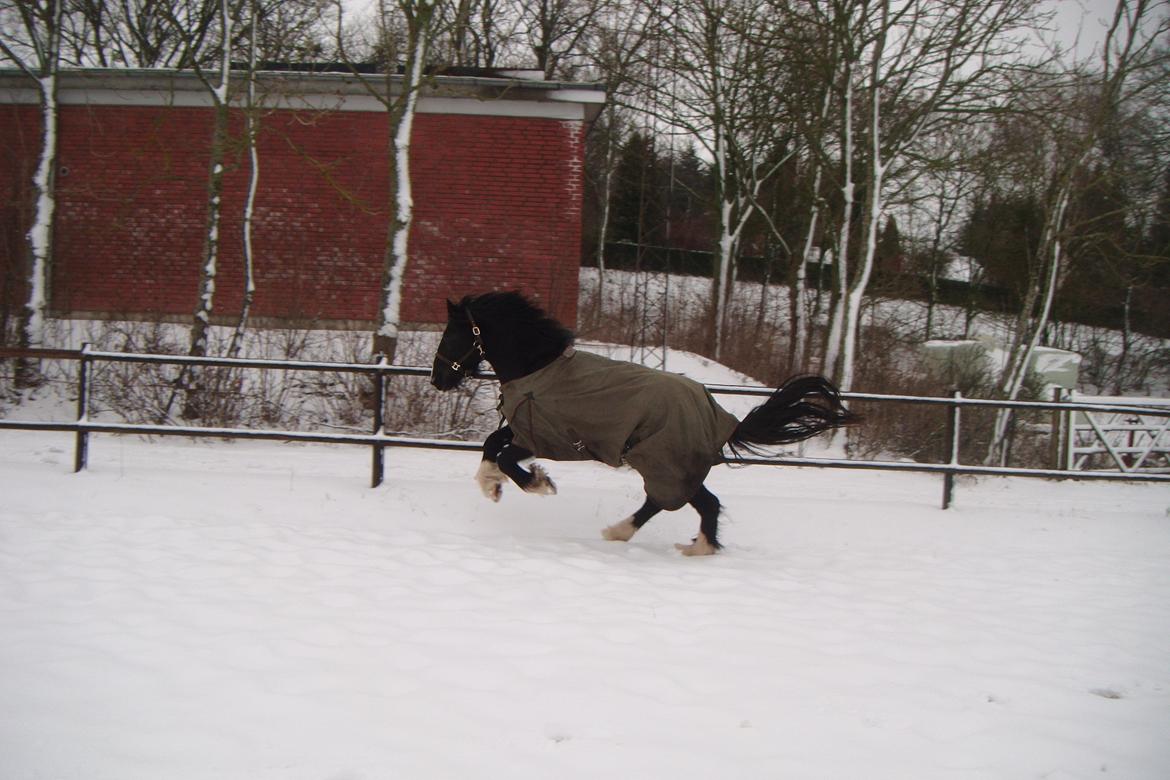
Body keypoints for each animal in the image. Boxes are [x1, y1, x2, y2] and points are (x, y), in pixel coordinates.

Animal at [430, 291, 861, 554]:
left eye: (451, 335)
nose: (437, 379)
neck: (538, 367)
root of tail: (721, 417)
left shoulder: (542, 435)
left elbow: (504, 456)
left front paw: (538, 484)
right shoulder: (523, 427)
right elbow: (491, 445)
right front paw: (492, 488)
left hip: (662, 460)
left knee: (664, 501)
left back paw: (621, 532)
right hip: (676, 463)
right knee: (704, 504)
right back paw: (696, 548)